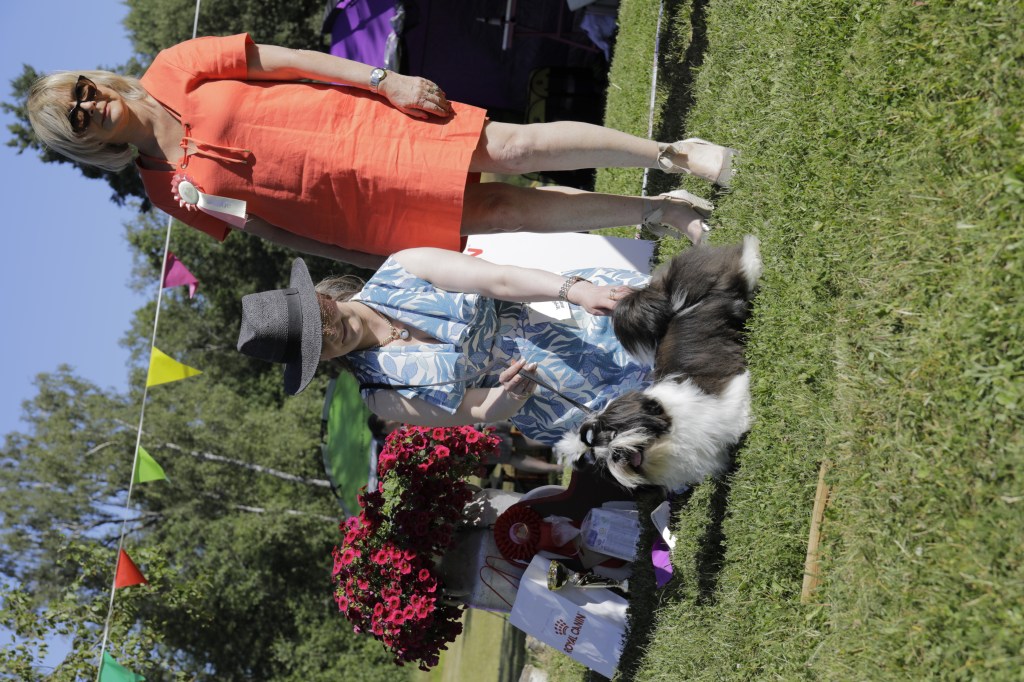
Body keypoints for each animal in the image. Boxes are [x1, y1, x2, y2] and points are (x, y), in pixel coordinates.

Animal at [556, 235, 762, 490]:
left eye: (613, 435)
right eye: (602, 460)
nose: (615, 454)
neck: (669, 436)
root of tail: (671, 305)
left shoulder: (721, 396)